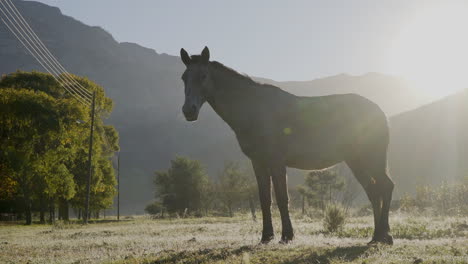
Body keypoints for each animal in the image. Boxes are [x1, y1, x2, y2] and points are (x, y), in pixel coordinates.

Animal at [179, 46, 394, 245]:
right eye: (184, 78)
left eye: (203, 75)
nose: (188, 111)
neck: (254, 108)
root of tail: (378, 111)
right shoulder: (258, 162)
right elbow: (265, 199)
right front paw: (266, 236)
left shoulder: (276, 162)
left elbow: (282, 198)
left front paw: (287, 235)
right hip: (355, 161)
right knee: (374, 192)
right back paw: (377, 236)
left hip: (371, 158)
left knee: (386, 187)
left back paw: (385, 236)